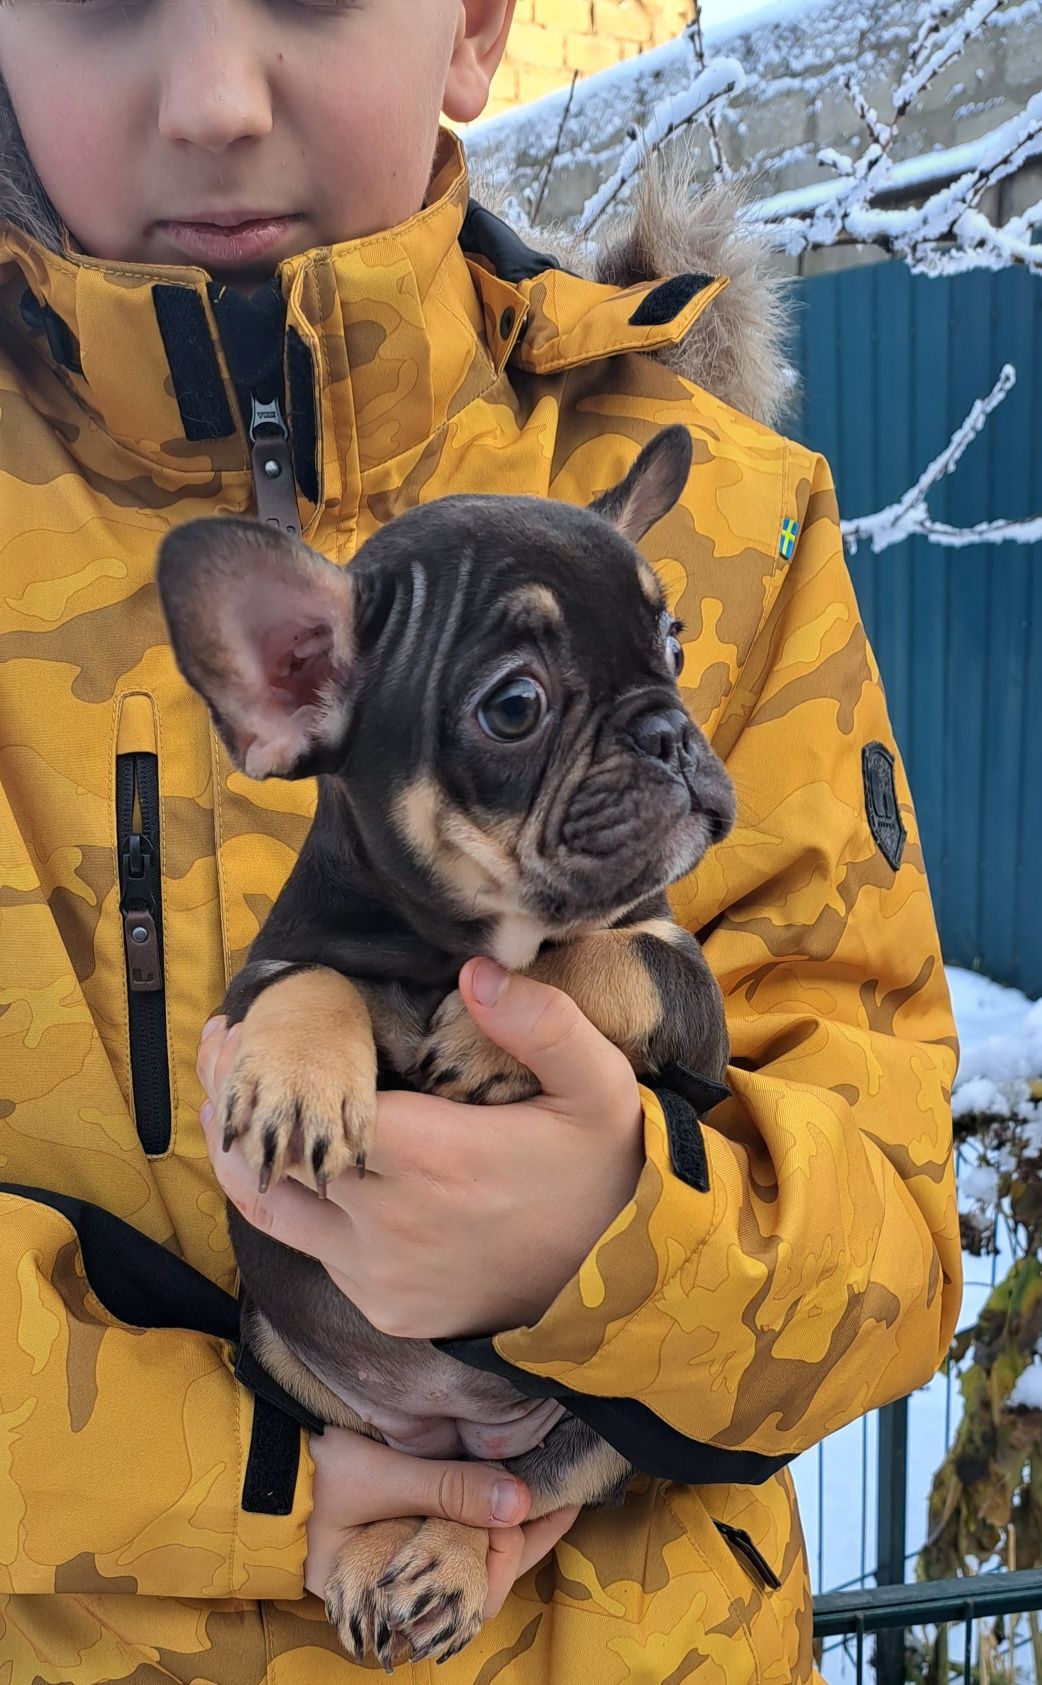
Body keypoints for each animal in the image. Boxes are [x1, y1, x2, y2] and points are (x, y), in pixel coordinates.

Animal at [158, 424, 735, 1671]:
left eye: (672, 639)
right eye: (513, 706)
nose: (670, 729)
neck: (463, 938)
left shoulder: (691, 1012)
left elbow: (610, 955)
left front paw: (485, 1028)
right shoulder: (261, 978)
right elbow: (315, 980)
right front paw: (299, 1081)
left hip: (608, 1427)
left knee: (526, 1489)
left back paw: (449, 1558)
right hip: (281, 1340)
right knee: (394, 1463)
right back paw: (386, 1546)